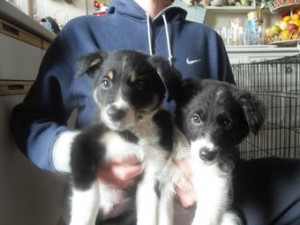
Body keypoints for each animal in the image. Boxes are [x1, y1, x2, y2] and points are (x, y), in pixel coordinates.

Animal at [62, 50, 180, 225]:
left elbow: (148, 215)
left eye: (139, 85)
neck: (135, 133)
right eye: (105, 83)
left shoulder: (153, 171)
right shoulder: (82, 145)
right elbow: (88, 198)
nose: (114, 114)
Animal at [159, 78, 264, 225]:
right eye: (195, 118)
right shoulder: (165, 181)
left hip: (230, 217)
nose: (207, 155)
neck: (193, 161)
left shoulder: (216, 185)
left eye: (227, 123)